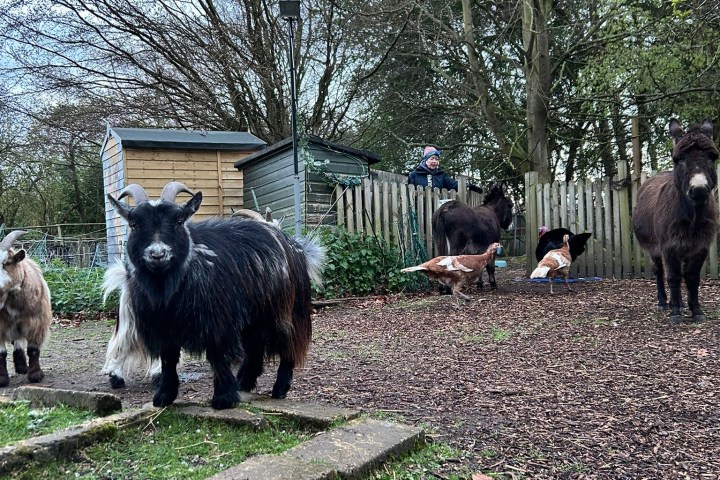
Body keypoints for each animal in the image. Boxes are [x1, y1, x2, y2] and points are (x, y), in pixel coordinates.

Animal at [0, 230, 53, 387]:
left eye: (7, 263)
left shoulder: (36, 322)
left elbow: (33, 349)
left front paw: (35, 375)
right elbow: (1, 353)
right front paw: (2, 379)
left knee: (18, 342)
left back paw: (22, 367)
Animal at [106, 181, 325, 409]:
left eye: (178, 221)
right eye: (133, 224)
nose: (157, 254)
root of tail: (293, 244)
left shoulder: (218, 321)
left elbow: (218, 357)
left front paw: (223, 398)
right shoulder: (164, 328)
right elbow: (168, 359)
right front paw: (164, 396)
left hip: (283, 311)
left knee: (288, 344)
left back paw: (279, 388)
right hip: (254, 317)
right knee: (255, 348)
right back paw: (243, 382)